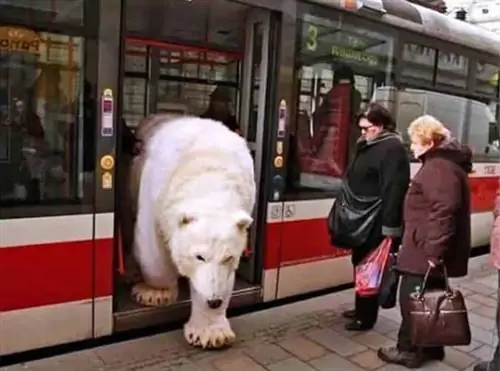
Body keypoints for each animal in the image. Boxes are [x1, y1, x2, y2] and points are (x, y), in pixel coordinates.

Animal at [129, 115, 256, 350]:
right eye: (199, 256)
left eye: (228, 257)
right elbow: (152, 246)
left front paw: (213, 334)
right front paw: (154, 293)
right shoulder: (157, 190)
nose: (214, 300)